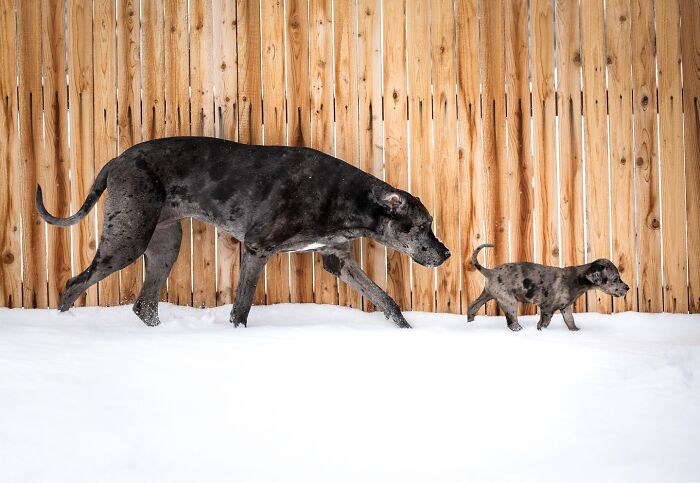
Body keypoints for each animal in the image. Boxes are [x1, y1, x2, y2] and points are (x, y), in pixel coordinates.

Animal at [38, 138, 452, 330]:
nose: (445, 254)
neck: (348, 197)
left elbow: (385, 299)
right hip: (128, 238)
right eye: (422, 225)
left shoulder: (339, 260)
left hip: (165, 243)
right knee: (74, 284)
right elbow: (241, 308)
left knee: (145, 305)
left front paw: (408, 332)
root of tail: (116, 160)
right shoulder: (257, 248)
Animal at [468, 244, 632, 330]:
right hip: (509, 301)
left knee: (472, 306)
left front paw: (576, 331)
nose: (628, 288)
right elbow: (543, 324)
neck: (577, 280)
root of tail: (490, 271)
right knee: (511, 321)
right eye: (615, 279)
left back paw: (470, 322)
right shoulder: (547, 309)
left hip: (487, 295)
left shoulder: (566, 307)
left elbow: (570, 320)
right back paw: (518, 329)